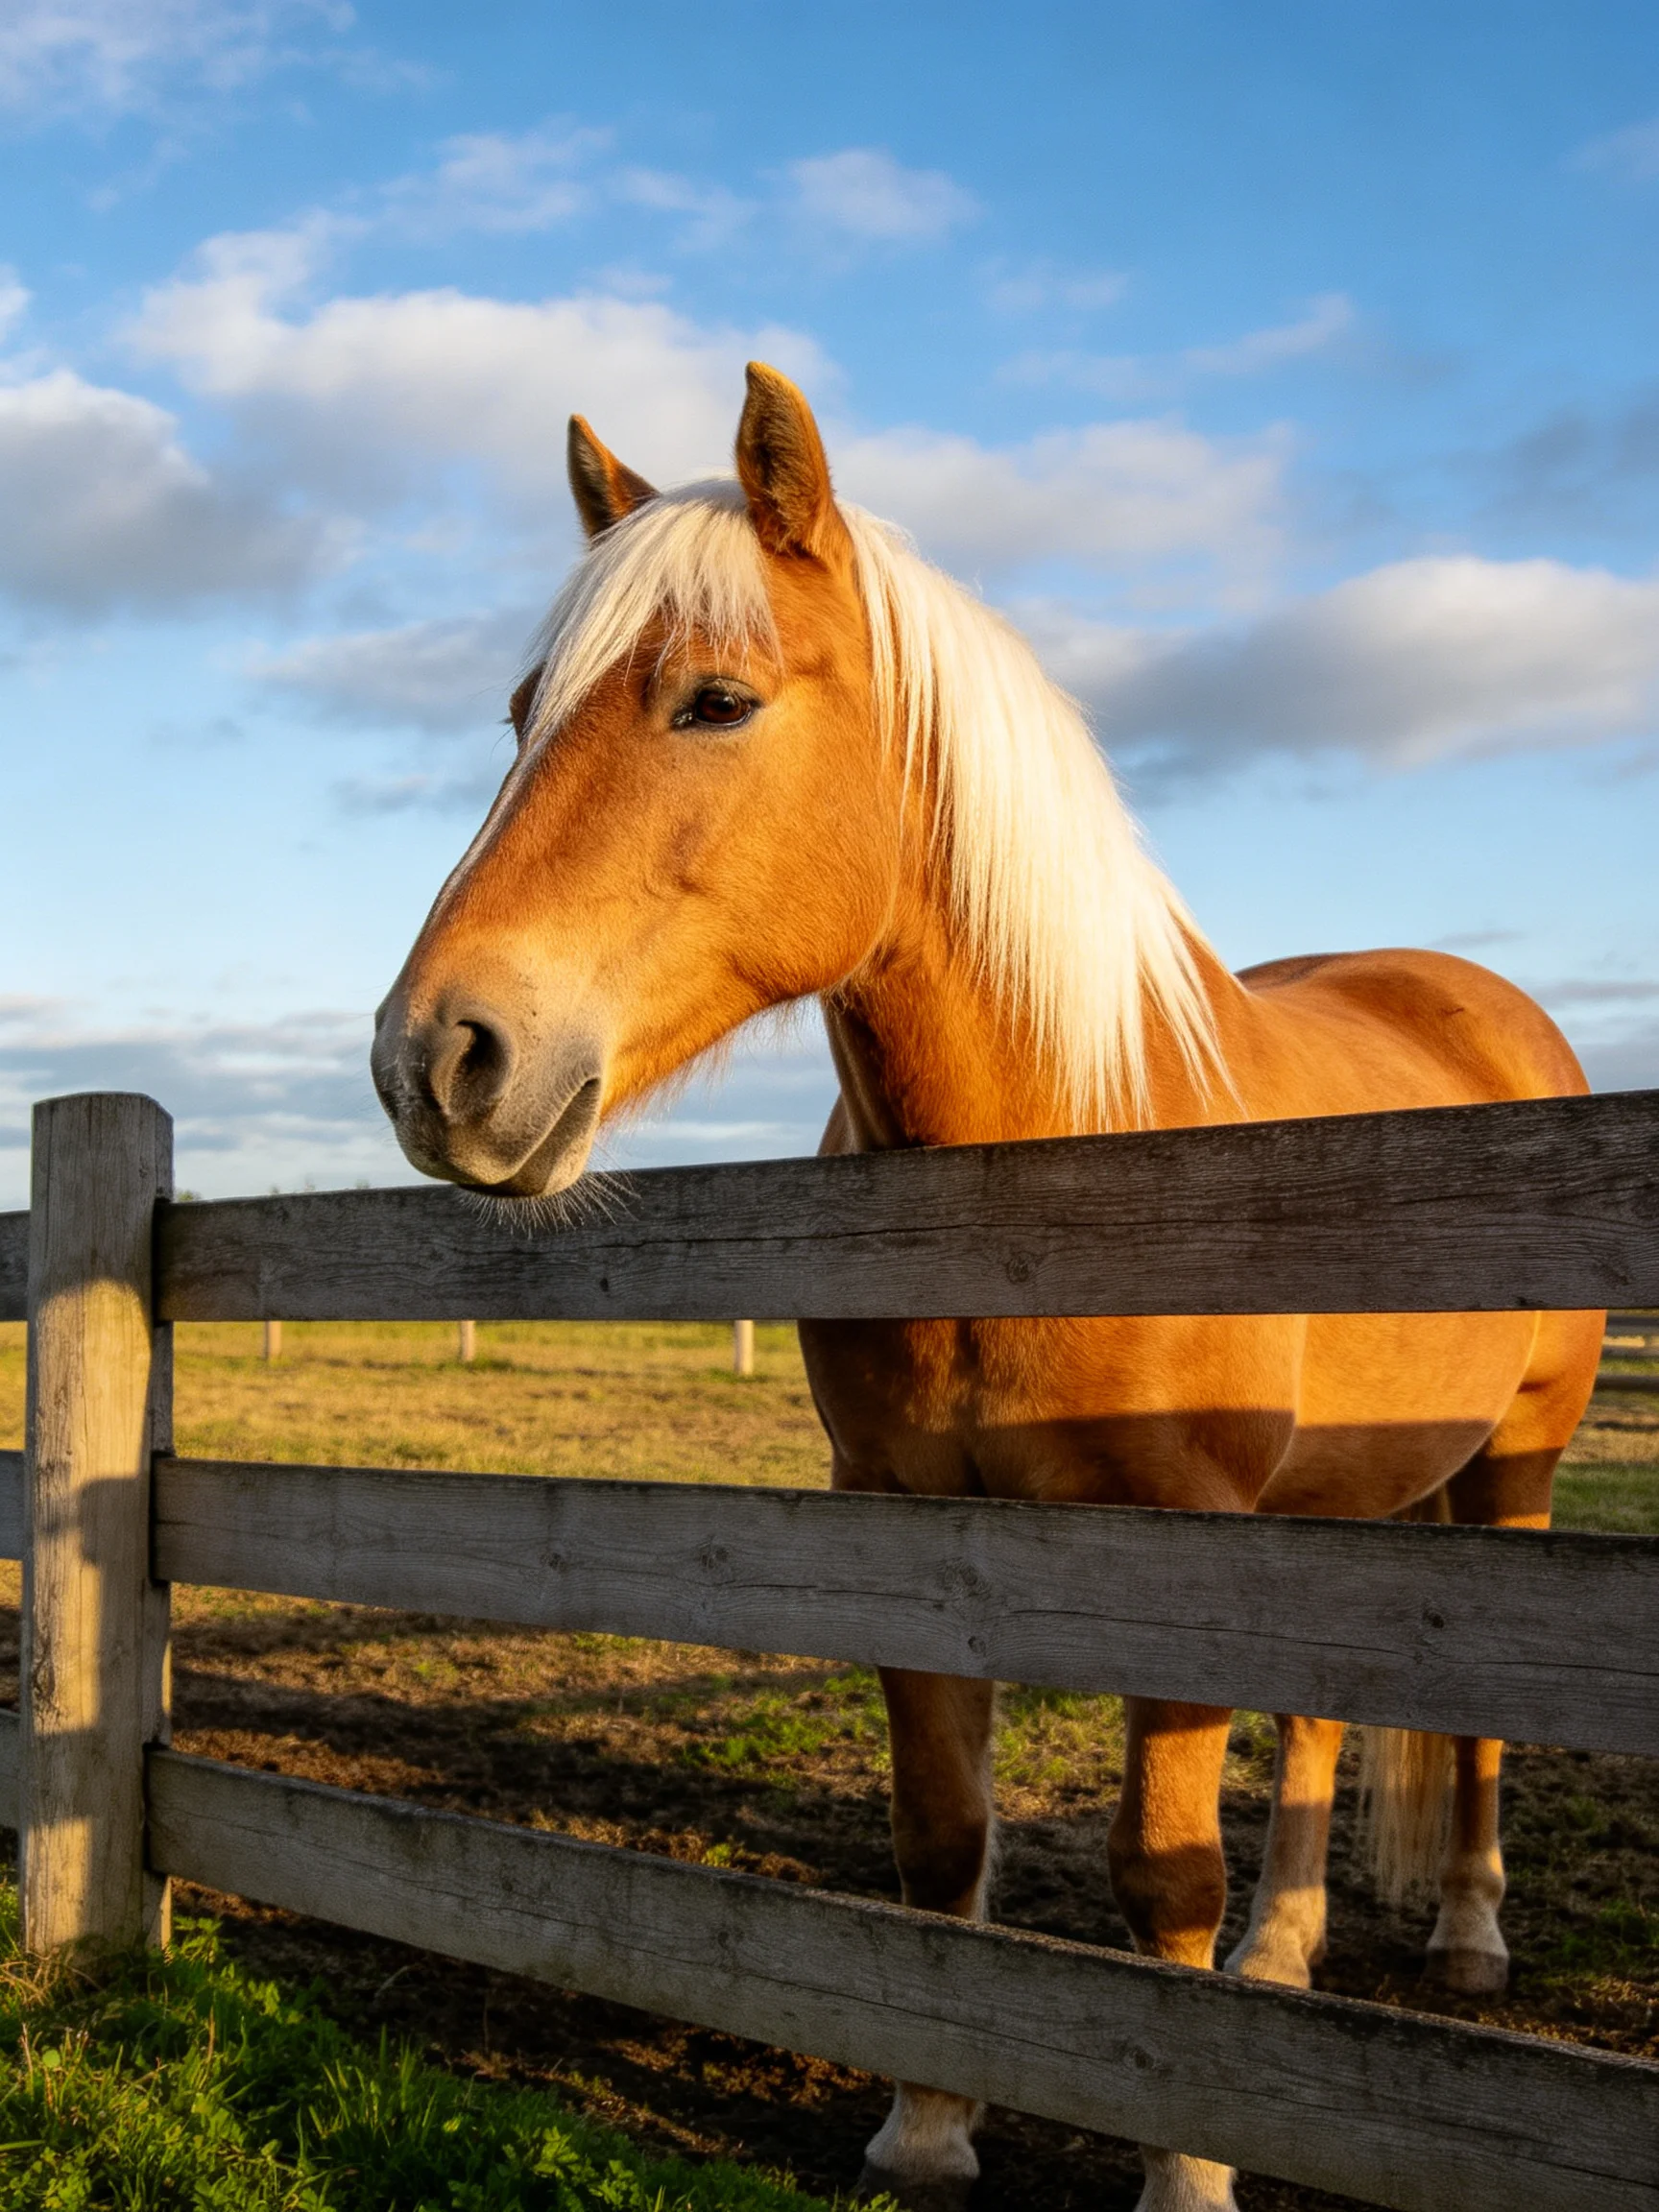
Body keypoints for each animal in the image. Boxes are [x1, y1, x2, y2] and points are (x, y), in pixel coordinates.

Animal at [371, 363, 1603, 2212]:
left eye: (715, 701)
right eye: (521, 715)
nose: (435, 1058)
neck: (1052, 1164)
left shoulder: (1176, 1549)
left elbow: (1159, 1873)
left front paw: (1188, 2170)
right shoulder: (904, 1520)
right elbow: (941, 1837)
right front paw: (930, 2126)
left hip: (1512, 1471)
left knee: (1467, 1740)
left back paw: (1461, 1941)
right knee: (1321, 1732)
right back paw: (1283, 1957)